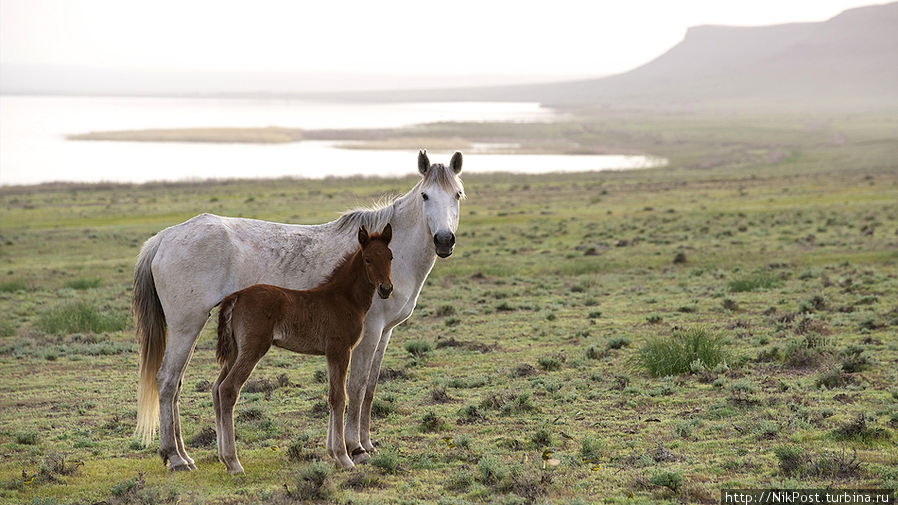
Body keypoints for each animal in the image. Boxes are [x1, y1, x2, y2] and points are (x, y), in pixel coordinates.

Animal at [214, 224, 392, 472]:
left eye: (390, 257)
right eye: (367, 259)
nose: (386, 289)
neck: (345, 299)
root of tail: (236, 295)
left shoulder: (331, 354)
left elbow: (332, 396)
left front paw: (333, 454)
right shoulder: (340, 349)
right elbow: (341, 397)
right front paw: (344, 457)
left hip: (234, 352)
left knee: (216, 388)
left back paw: (223, 458)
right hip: (253, 349)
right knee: (228, 389)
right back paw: (233, 462)